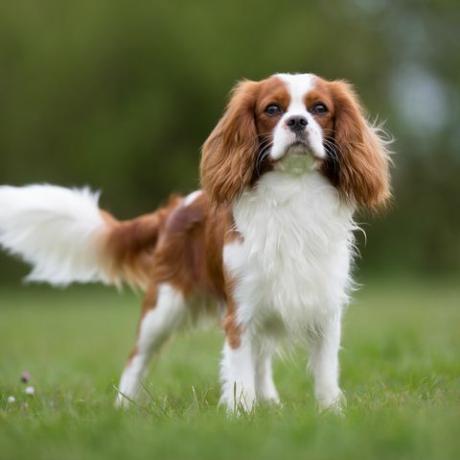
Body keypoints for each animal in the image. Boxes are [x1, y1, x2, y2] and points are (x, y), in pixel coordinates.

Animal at [0, 73, 390, 412]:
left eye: (320, 108)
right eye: (272, 109)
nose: (297, 121)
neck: (294, 192)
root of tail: (173, 209)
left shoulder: (323, 307)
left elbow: (325, 373)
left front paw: (331, 414)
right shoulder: (240, 313)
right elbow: (239, 373)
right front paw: (242, 416)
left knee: (261, 359)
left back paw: (271, 403)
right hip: (164, 306)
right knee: (136, 357)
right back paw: (122, 409)